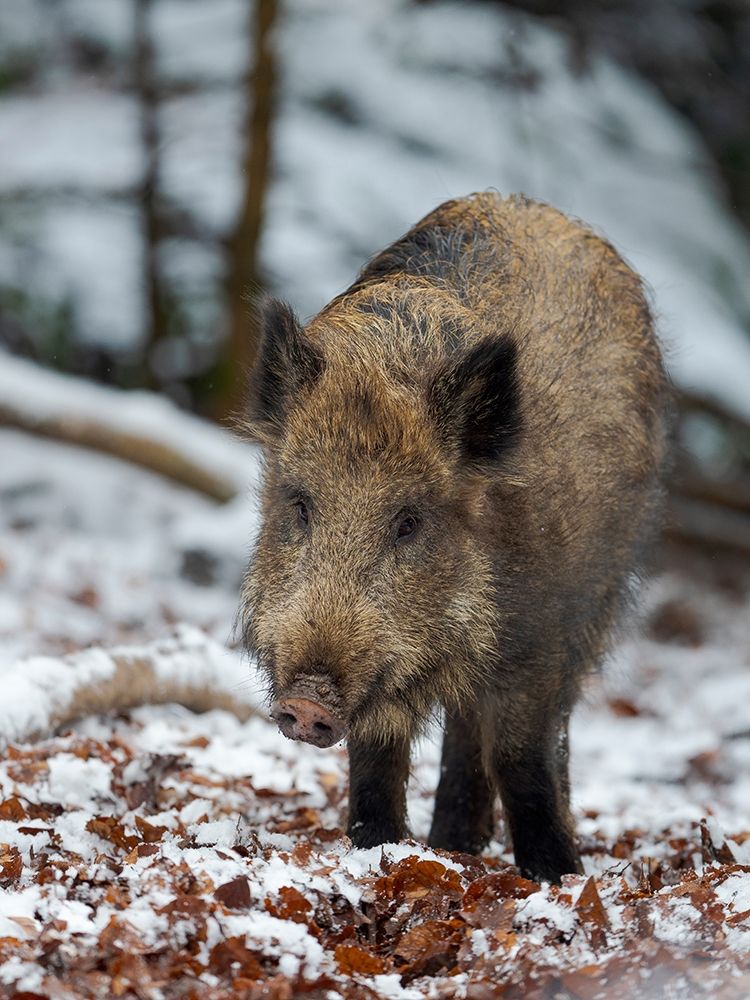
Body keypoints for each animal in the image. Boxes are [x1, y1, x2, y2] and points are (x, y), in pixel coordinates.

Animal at [240, 192, 671, 883]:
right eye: (300, 505)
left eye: (410, 521)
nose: (307, 703)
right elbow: (376, 761)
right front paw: (380, 853)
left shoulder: (541, 640)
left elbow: (522, 756)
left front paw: (556, 876)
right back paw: (452, 847)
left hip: (600, 600)